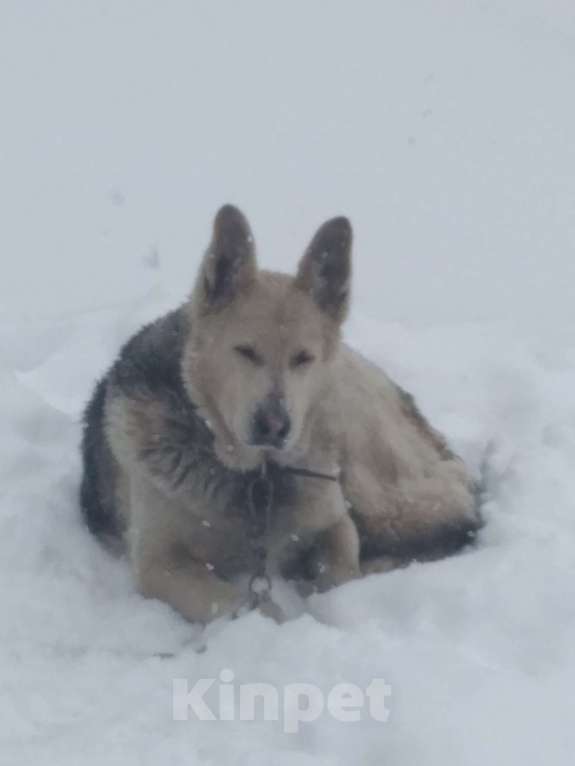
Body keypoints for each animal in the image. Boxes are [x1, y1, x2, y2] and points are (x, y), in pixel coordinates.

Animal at [79, 204, 480, 624]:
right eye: (245, 351)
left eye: (303, 358)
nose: (274, 426)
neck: (256, 479)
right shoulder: (159, 563)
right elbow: (240, 603)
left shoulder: (335, 523)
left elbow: (342, 573)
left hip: (368, 475)